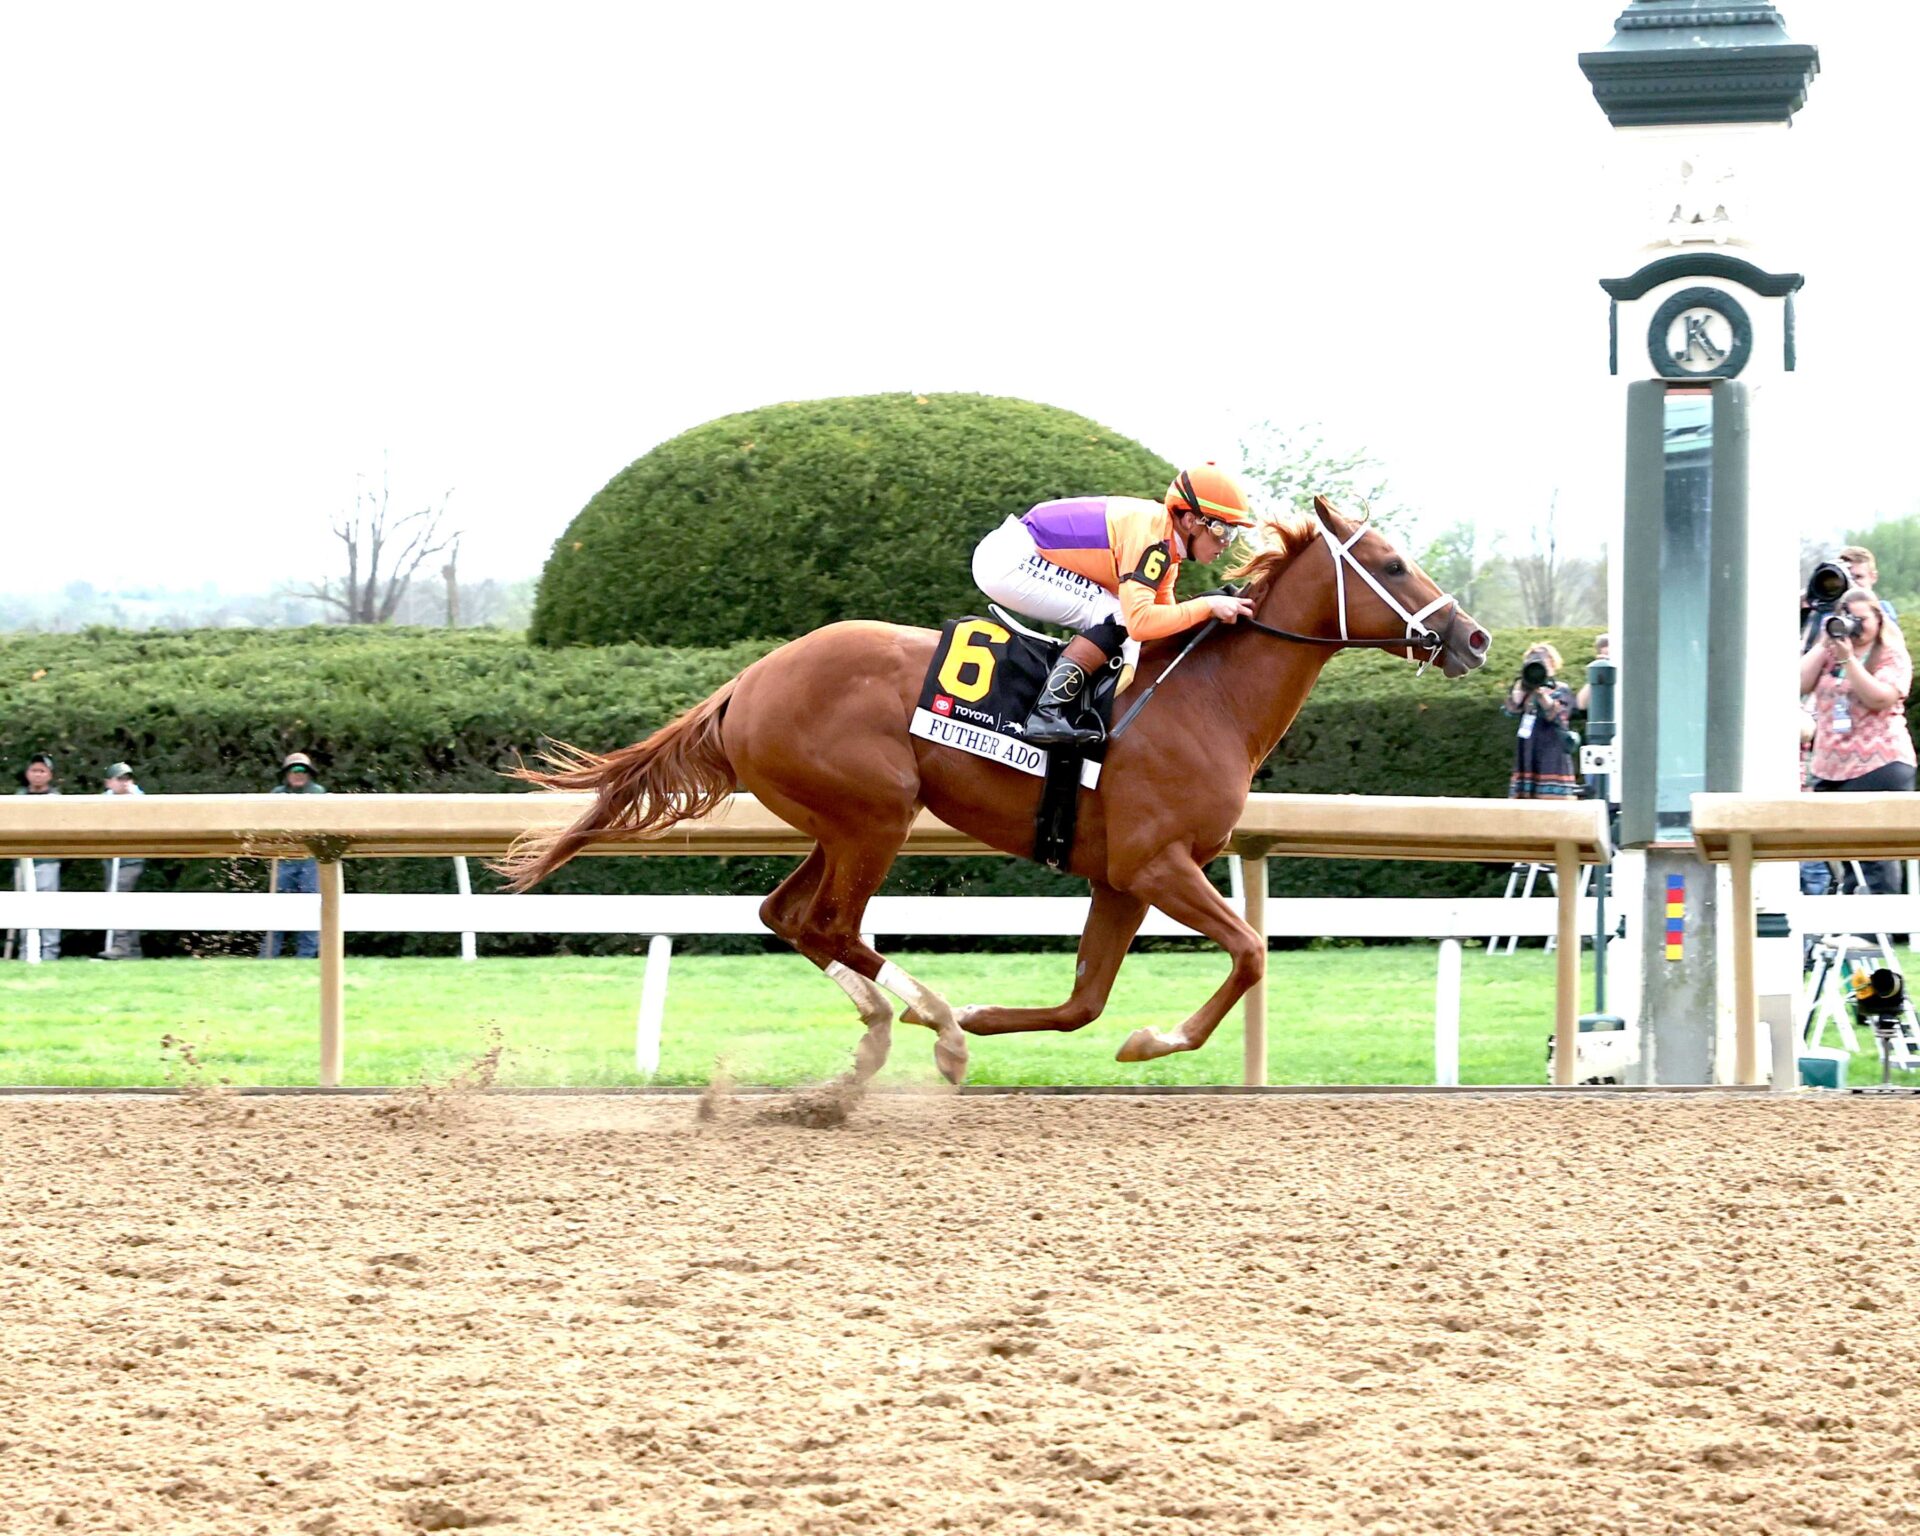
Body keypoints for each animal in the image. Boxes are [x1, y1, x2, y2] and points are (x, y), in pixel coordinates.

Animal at [497, 495, 1490, 1084]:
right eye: (1393, 566)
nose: (1474, 638)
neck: (1206, 699)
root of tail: (748, 680)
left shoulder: (1120, 877)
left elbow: (1086, 1001)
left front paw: (1102, 1031)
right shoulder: (1159, 863)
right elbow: (1249, 951)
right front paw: (1155, 1040)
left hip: (838, 820)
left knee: (789, 918)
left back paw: (882, 1030)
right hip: (876, 815)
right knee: (831, 926)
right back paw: (932, 1021)